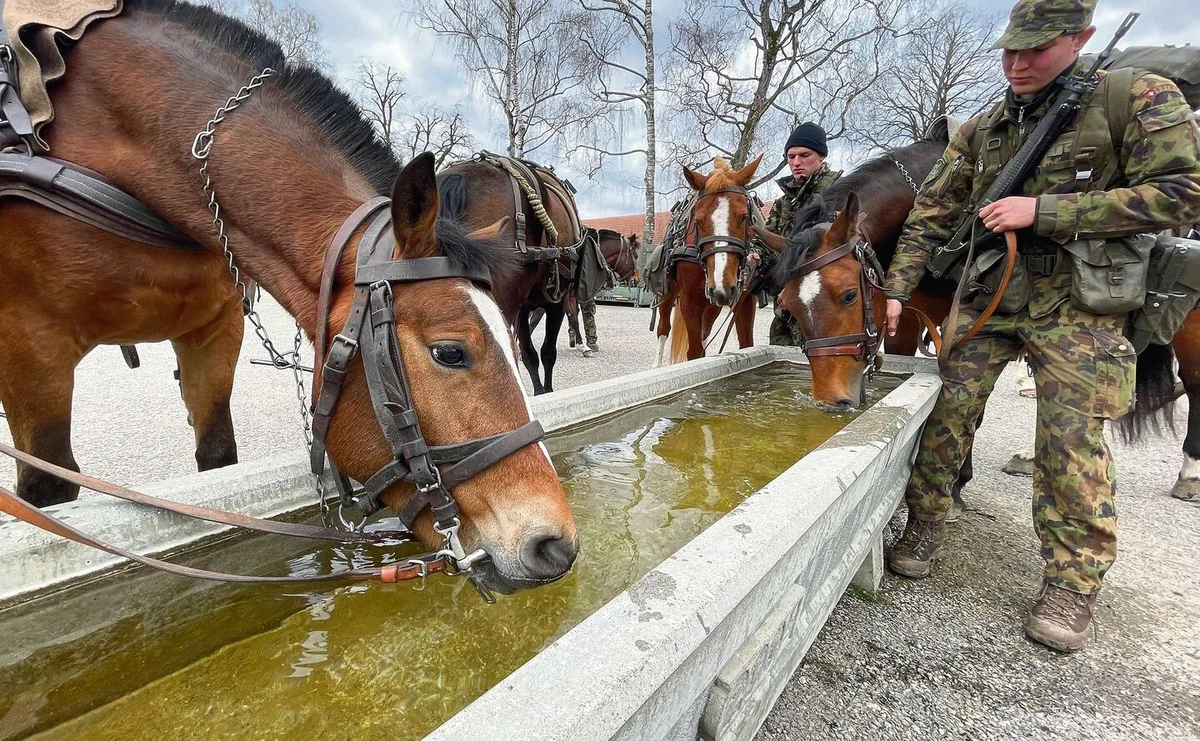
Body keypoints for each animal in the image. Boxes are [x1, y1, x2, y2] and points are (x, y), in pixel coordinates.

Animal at [653, 156, 765, 366]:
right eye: (698, 220)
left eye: (744, 217)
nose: (722, 285)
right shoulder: (689, 301)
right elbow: (694, 352)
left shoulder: (745, 301)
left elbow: (747, 345)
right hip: (669, 292)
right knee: (663, 328)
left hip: (713, 304)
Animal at [760, 138, 1200, 504]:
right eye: (788, 304)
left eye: (850, 294)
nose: (832, 401)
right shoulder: (905, 314)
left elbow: (975, 402)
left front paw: (957, 483)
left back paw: (1190, 472)